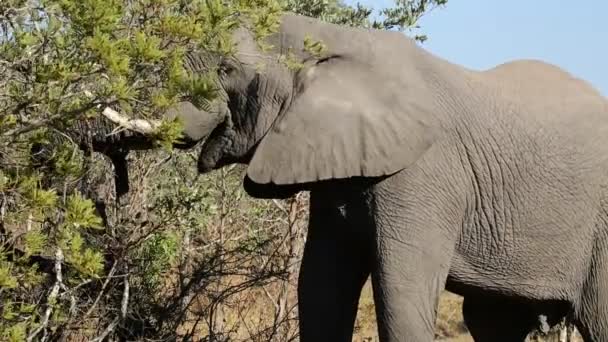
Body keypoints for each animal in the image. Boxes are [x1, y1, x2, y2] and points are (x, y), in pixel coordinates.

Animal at [133, 13, 608, 342]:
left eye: (227, 70)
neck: (330, 38)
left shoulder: (424, 174)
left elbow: (399, 292)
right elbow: (321, 286)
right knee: (491, 321)